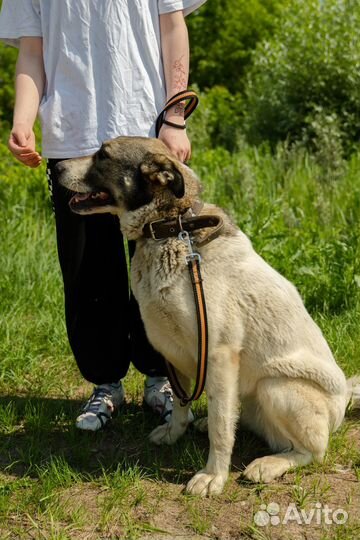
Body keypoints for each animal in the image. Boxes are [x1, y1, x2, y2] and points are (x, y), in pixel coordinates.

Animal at [57, 136, 358, 498]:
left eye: (103, 154)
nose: (56, 167)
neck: (170, 231)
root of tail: (343, 401)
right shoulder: (170, 348)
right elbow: (182, 403)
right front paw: (175, 433)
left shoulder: (218, 354)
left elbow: (220, 426)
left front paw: (213, 476)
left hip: (276, 387)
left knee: (313, 450)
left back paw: (268, 465)